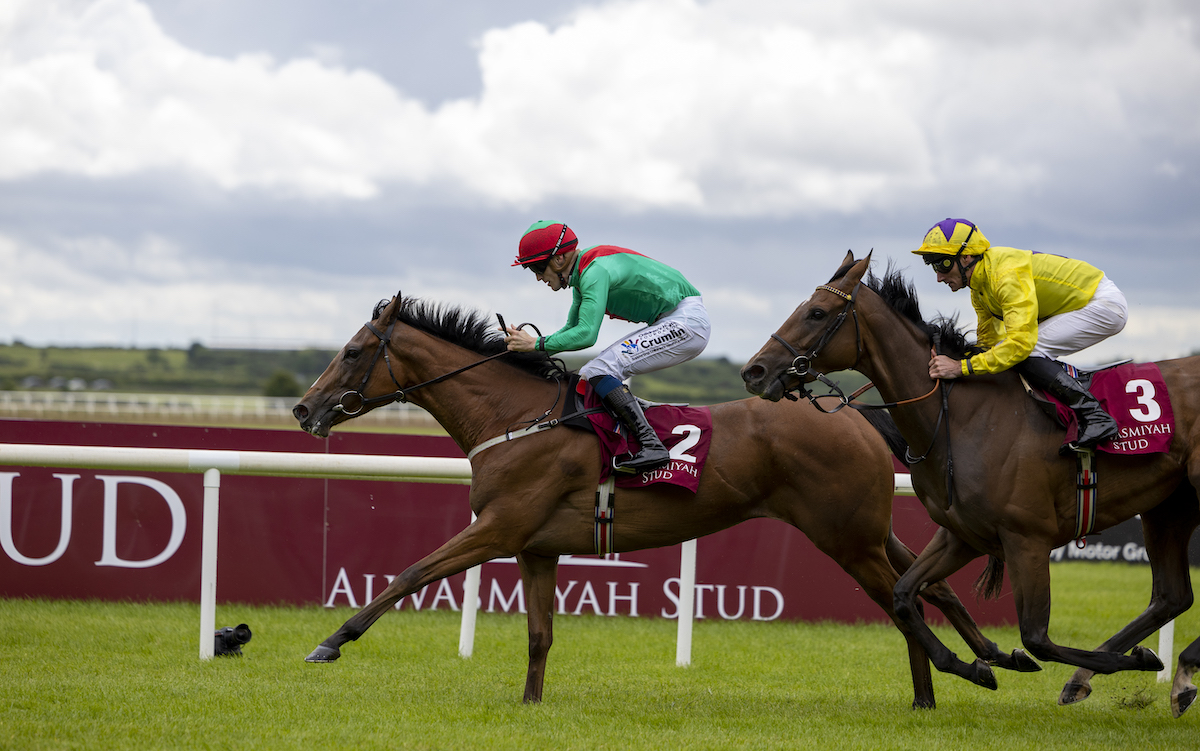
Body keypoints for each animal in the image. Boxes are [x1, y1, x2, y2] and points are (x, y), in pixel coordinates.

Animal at [292, 289, 1041, 705]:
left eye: (354, 351)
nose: (303, 408)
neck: (515, 416)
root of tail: (853, 414)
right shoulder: (536, 548)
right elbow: (539, 634)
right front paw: (530, 704)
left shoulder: (500, 528)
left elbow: (410, 572)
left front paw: (329, 642)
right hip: (863, 527)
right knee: (925, 587)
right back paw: (970, 670)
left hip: (843, 537)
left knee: (902, 600)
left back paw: (962, 670)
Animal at [739, 249, 1200, 715]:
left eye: (816, 312)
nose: (754, 371)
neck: (962, 419)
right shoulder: (963, 534)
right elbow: (905, 596)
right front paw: (978, 666)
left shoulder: (1027, 538)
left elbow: (1037, 638)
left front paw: (1136, 661)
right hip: (1169, 507)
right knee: (1173, 596)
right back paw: (1146, 676)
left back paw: (1167, 669)